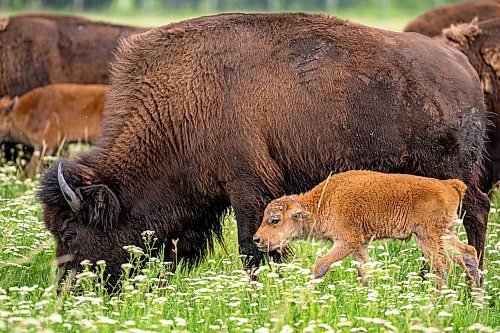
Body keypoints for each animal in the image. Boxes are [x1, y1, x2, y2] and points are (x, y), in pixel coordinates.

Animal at [254, 170, 480, 290]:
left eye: (274, 220)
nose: (257, 239)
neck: (324, 199)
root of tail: (449, 185)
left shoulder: (347, 242)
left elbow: (319, 266)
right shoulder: (360, 245)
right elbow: (365, 272)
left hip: (428, 236)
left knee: (442, 267)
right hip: (442, 234)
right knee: (468, 254)